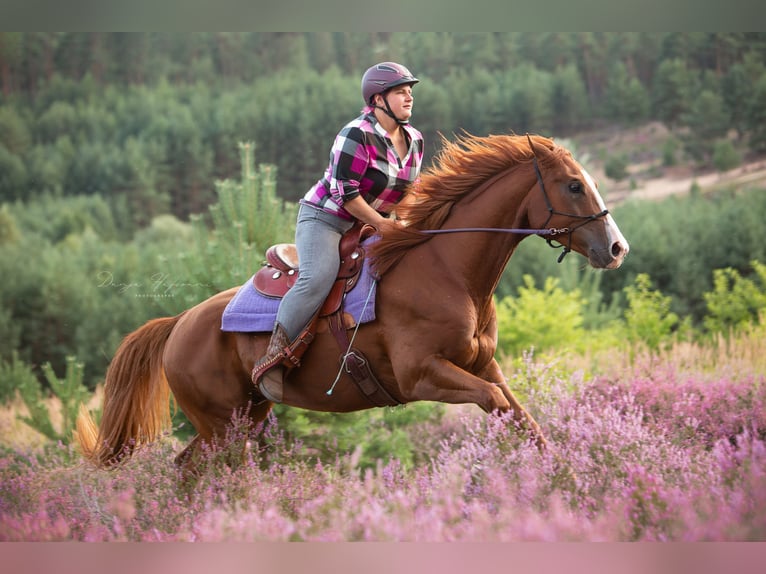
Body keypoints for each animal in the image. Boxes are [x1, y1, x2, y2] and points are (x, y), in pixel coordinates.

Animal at [76, 133, 629, 473]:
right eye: (573, 185)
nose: (617, 248)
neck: (447, 271)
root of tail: (178, 323)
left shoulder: (482, 366)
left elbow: (524, 421)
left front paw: (562, 477)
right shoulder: (422, 375)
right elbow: (496, 405)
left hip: (243, 417)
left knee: (189, 471)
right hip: (222, 425)